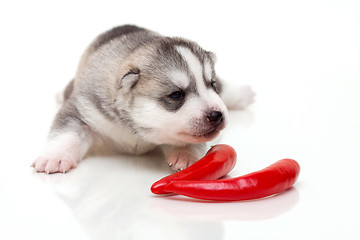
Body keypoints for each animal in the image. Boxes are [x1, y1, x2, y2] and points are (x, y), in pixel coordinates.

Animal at [32, 25, 255, 173]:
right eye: (176, 95)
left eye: (212, 85)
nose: (217, 115)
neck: (135, 131)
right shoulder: (83, 107)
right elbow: (67, 131)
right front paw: (55, 156)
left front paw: (185, 154)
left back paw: (243, 93)